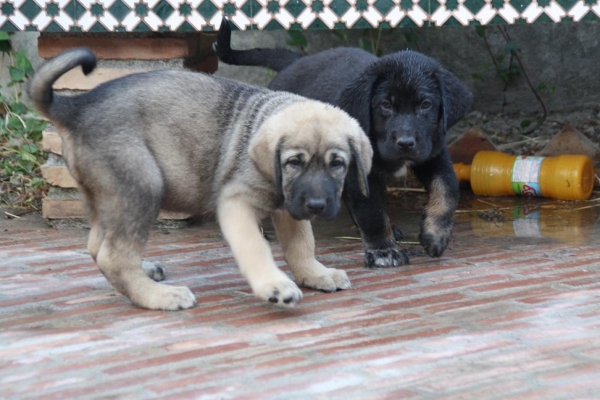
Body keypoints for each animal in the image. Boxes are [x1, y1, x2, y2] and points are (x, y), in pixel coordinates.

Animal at [217, 19, 474, 268]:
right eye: (385, 105)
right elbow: (372, 213)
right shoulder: (359, 173)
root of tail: (294, 62)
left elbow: (447, 190)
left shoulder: (434, 153)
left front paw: (435, 235)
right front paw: (383, 251)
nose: (405, 143)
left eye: (425, 105)